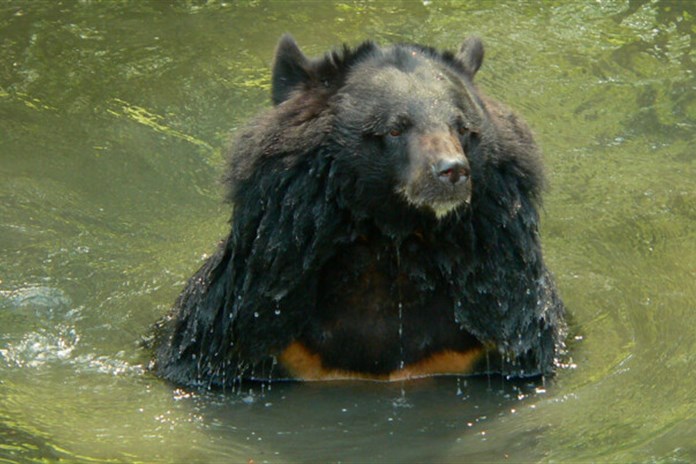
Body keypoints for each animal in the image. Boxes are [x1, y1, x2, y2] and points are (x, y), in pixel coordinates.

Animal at [152, 33, 564, 388]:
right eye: (395, 128)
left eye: (462, 128)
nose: (452, 172)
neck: (390, 241)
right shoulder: (250, 325)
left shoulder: (493, 325)